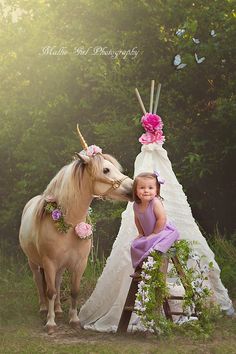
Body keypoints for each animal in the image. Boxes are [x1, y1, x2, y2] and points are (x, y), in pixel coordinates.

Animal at [18, 134, 133, 334]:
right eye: (106, 169)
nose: (133, 187)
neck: (70, 225)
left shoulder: (79, 263)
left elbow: (73, 291)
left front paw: (74, 320)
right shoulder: (49, 262)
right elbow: (49, 291)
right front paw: (50, 323)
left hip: (60, 266)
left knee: (56, 283)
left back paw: (57, 310)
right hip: (34, 262)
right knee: (40, 283)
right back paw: (44, 310)